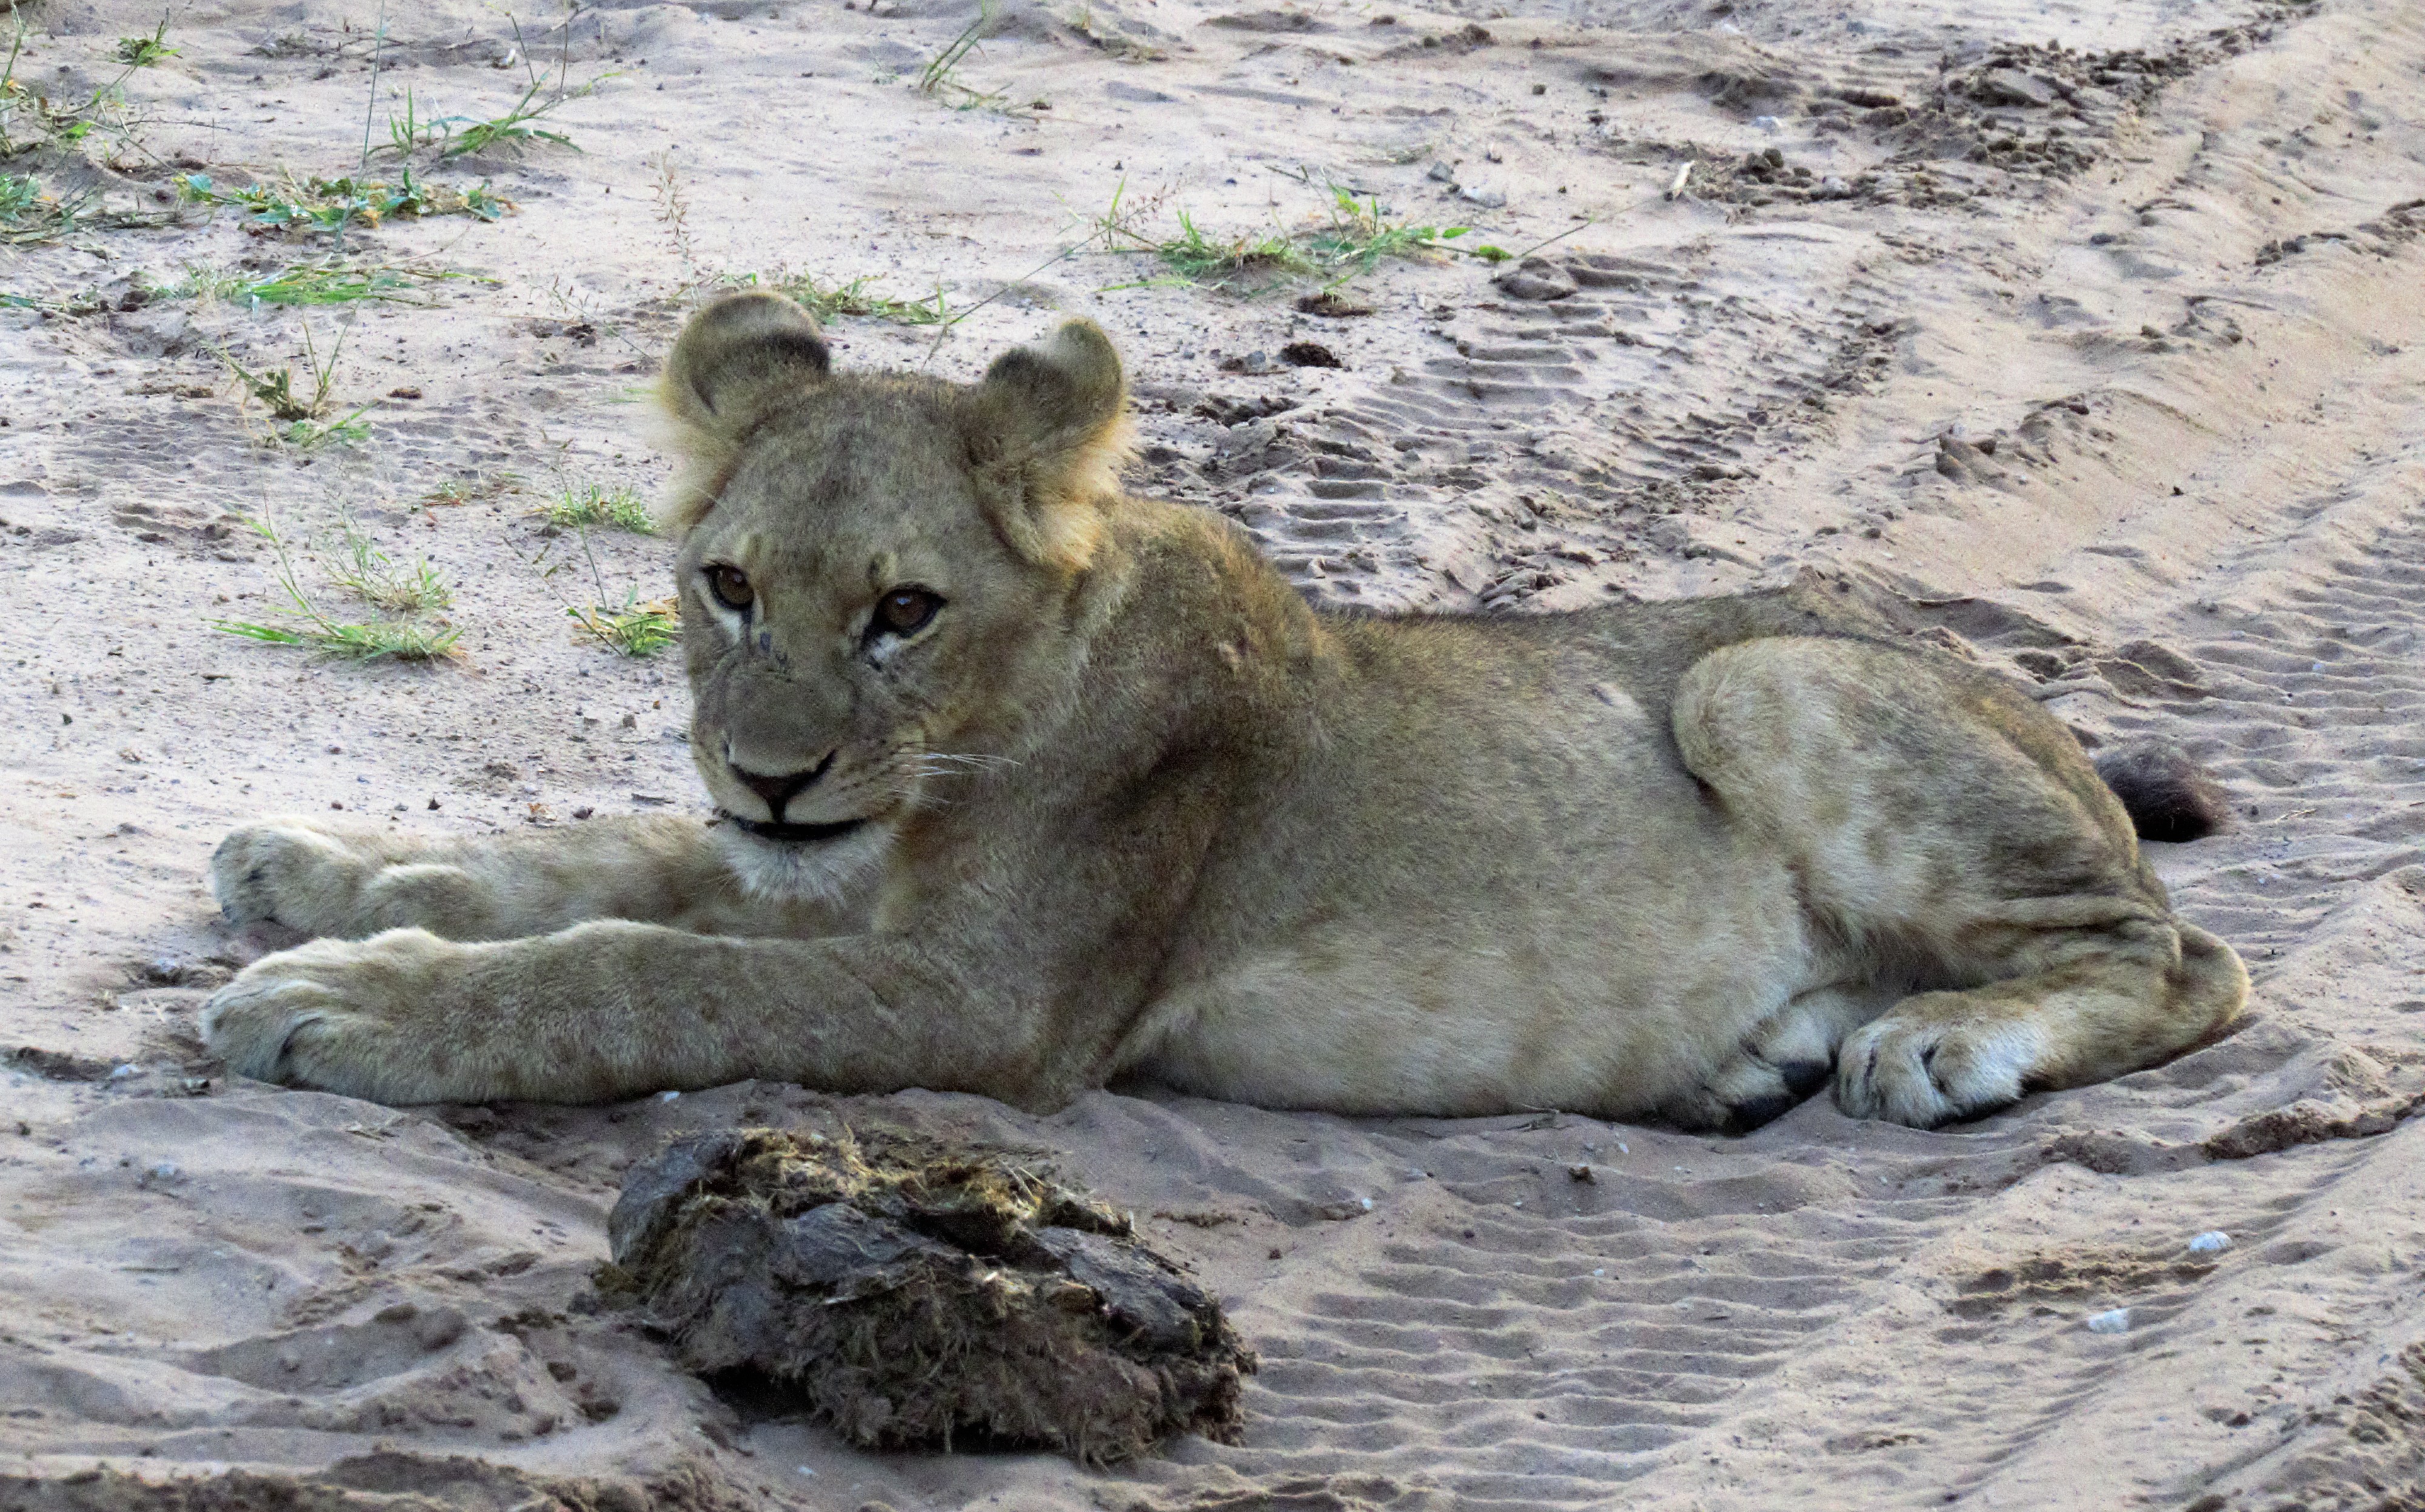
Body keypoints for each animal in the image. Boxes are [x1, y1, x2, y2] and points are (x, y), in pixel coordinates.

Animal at [200, 291, 2247, 1131]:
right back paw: (1756, 1058)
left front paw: (346, 1001)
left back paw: (1935, 1045)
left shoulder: (990, 1003)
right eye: (727, 588)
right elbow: (592, 859)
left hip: (1767, 673)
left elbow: (642, 969)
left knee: (2186, 956)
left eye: (903, 611)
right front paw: (315, 865)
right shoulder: (812, 874)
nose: (770, 778)